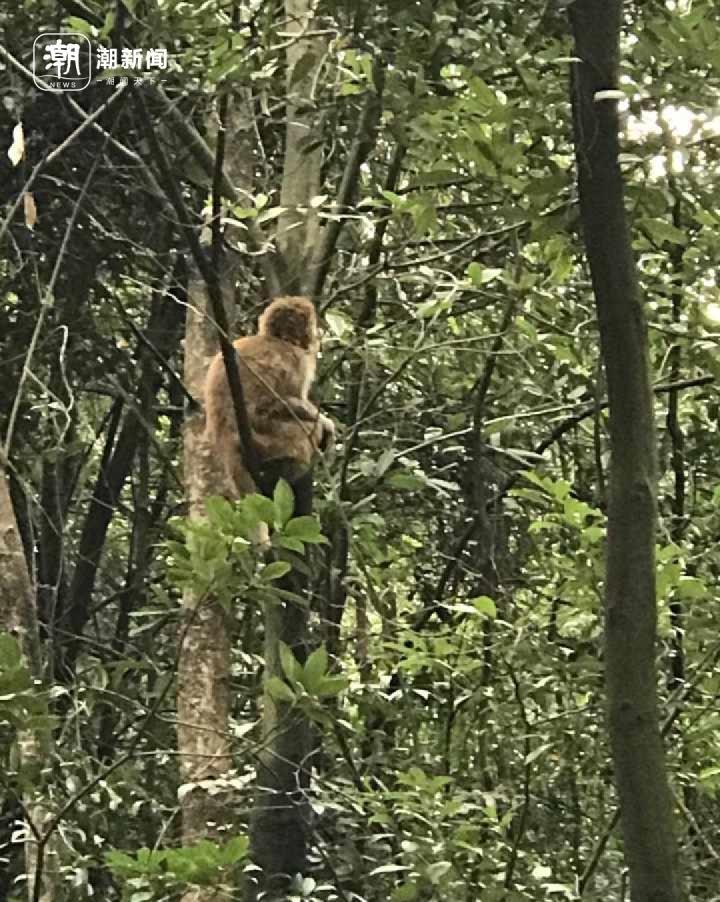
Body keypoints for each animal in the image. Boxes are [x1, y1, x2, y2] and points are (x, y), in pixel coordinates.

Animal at [204, 296, 336, 498]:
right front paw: (325, 422)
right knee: (305, 429)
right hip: (268, 442)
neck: (279, 340)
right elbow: (280, 402)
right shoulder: (296, 359)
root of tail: (226, 439)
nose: (317, 334)